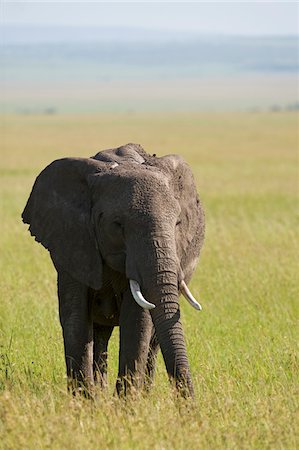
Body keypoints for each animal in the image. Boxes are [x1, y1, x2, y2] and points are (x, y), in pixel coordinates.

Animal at [22, 143, 206, 398]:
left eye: (178, 223)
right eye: (117, 225)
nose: (189, 405)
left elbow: (137, 320)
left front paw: (126, 404)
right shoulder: (72, 239)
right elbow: (75, 316)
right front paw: (84, 401)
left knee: (152, 339)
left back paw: (142, 394)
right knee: (100, 333)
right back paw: (100, 393)